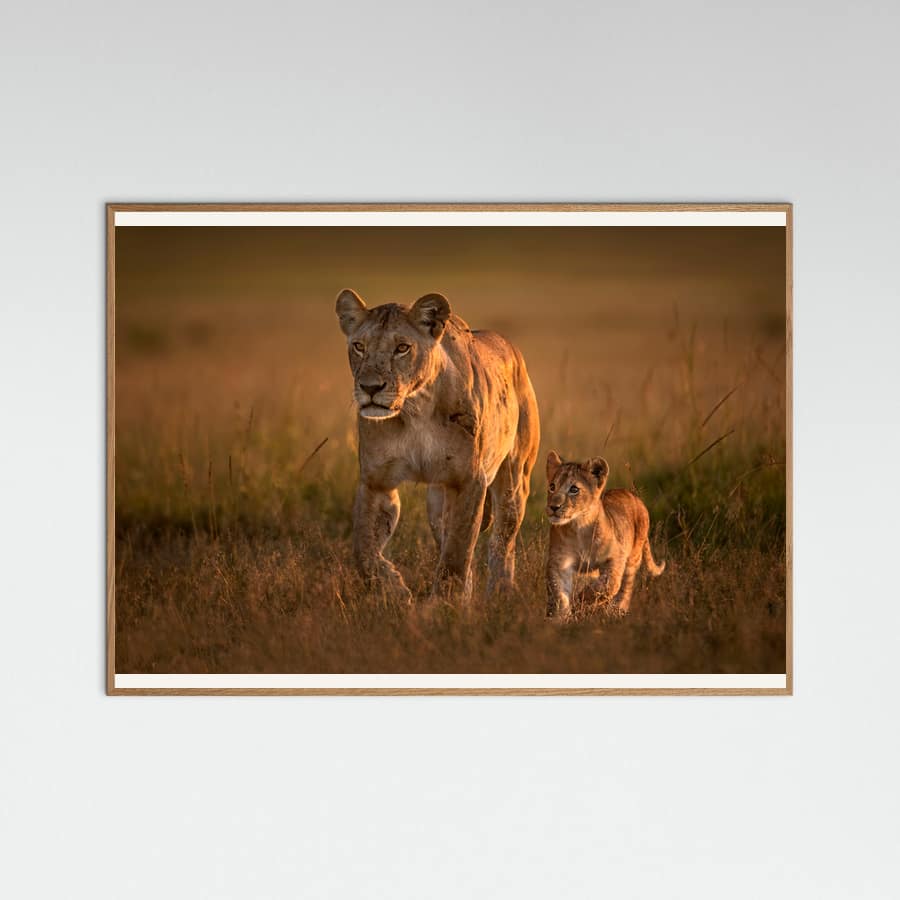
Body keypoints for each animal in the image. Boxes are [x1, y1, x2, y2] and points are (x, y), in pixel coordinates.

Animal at [335, 288, 540, 601]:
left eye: (402, 348)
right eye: (359, 346)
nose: (370, 388)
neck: (415, 409)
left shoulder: (469, 480)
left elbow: (457, 553)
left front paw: (445, 605)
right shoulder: (376, 481)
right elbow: (364, 551)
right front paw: (394, 590)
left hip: (514, 480)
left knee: (502, 541)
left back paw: (501, 593)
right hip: (437, 500)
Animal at [544, 451, 665, 619]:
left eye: (574, 489)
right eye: (552, 486)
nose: (553, 507)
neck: (578, 527)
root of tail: (634, 496)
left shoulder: (616, 557)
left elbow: (609, 584)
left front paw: (582, 600)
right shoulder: (559, 562)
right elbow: (559, 593)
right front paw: (560, 617)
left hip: (633, 558)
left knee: (625, 588)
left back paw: (616, 610)